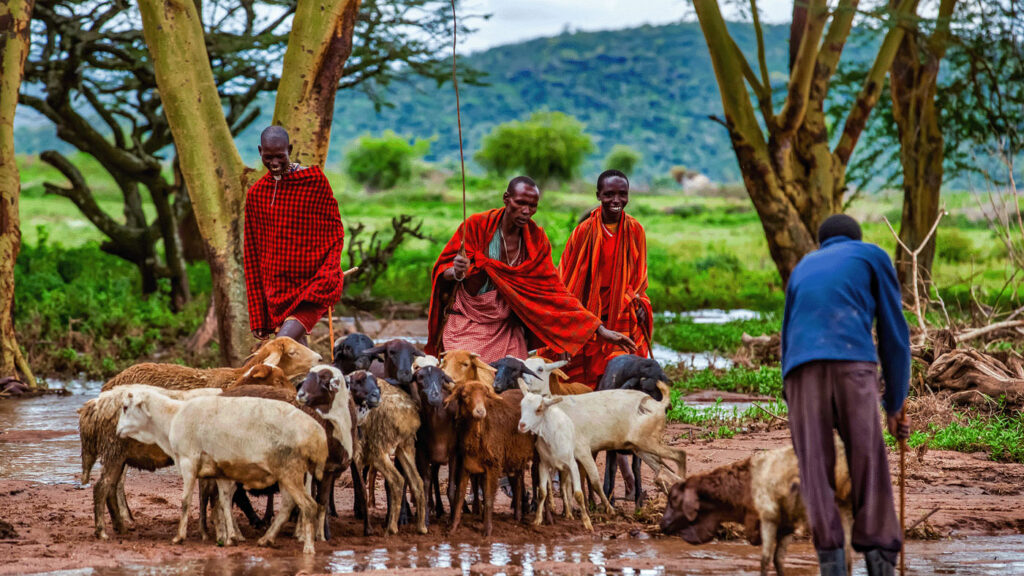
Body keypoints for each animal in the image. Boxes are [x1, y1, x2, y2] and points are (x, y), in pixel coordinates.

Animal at [113, 387, 327, 553]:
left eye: (125, 407)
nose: (117, 431)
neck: (170, 419)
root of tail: (317, 434)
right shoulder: (220, 471)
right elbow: (224, 503)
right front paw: (231, 537)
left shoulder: (188, 461)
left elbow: (185, 501)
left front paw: (179, 536)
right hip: (289, 473)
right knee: (288, 506)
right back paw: (266, 539)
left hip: (290, 470)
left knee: (309, 506)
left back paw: (308, 547)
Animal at [446, 380, 534, 537]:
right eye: (465, 395)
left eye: (485, 395)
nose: (480, 411)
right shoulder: (465, 465)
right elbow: (459, 496)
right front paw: (453, 528)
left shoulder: (493, 465)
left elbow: (488, 499)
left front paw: (487, 530)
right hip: (515, 456)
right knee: (518, 481)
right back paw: (518, 516)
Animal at [661, 438, 853, 576]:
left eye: (674, 499)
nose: (662, 524)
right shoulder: (785, 526)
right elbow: (777, 560)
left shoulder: (768, 519)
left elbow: (765, 560)